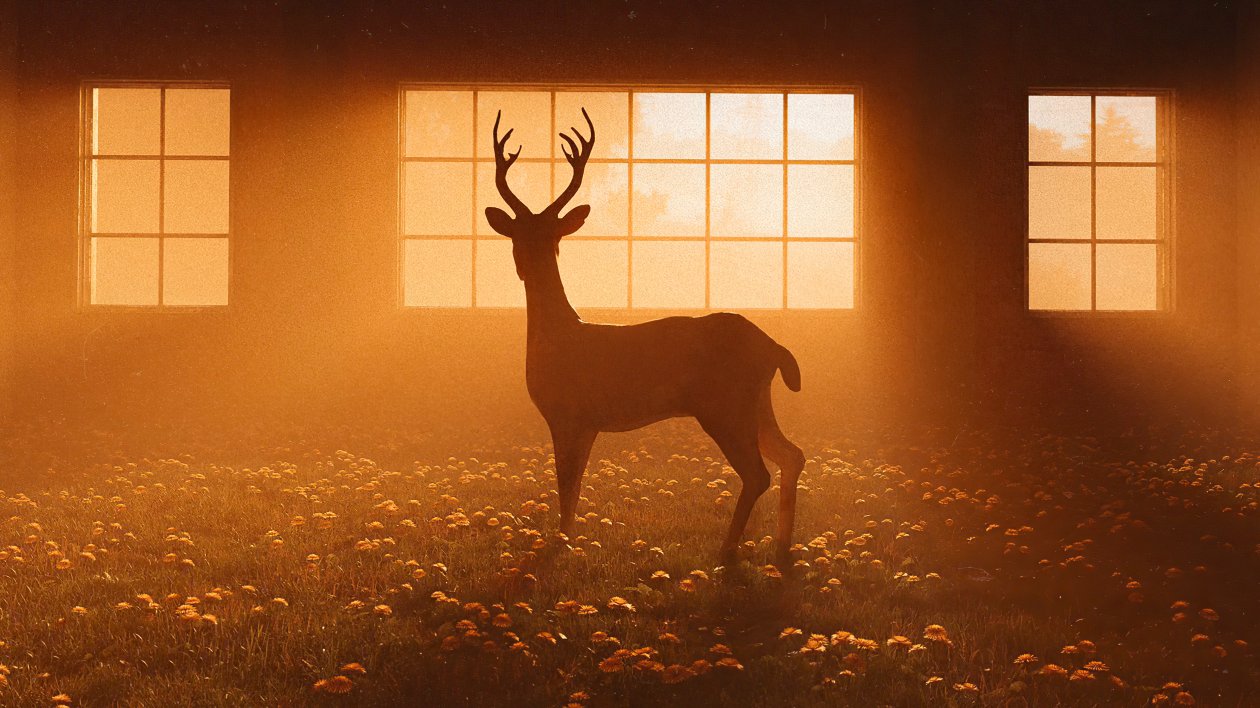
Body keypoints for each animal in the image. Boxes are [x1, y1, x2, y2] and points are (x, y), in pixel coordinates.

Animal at [484, 108, 806, 566]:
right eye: (519, 233)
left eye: (550, 235)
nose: (524, 265)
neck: (560, 335)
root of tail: (773, 347)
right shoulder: (586, 422)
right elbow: (573, 486)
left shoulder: (569, 415)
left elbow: (567, 486)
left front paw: (562, 542)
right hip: (758, 401)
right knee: (791, 455)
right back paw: (780, 545)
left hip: (724, 405)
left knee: (758, 472)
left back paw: (726, 550)